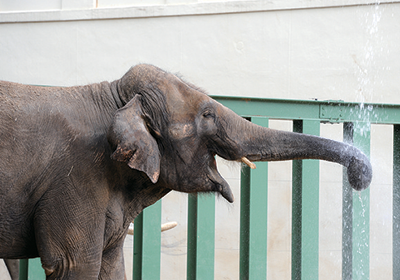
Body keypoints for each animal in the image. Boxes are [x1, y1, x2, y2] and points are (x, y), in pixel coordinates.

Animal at [0, 64, 372, 278]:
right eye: (207, 114)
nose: (360, 177)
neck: (113, 97)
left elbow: (111, 265)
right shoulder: (75, 177)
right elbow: (74, 264)